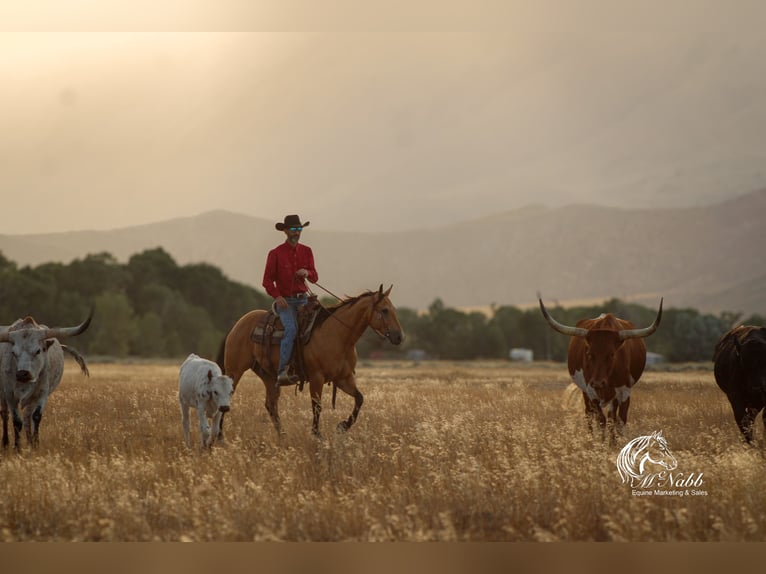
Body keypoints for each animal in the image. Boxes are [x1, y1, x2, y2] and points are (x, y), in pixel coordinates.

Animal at [218, 284, 404, 437]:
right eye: (385, 310)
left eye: (393, 309)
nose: (399, 337)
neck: (338, 336)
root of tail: (237, 325)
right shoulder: (317, 377)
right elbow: (317, 406)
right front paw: (317, 434)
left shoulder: (343, 379)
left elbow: (359, 399)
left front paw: (342, 426)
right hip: (235, 371)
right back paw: (219, 435)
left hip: (268, 376)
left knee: (271, 405)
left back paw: (283, 436)